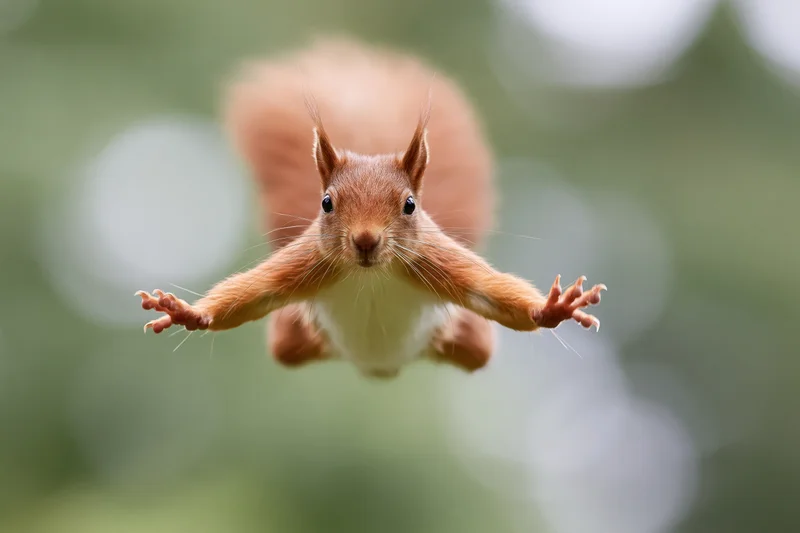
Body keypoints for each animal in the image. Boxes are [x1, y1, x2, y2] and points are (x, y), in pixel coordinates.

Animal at [135, 38, 606, 379]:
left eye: (410, 205)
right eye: (326, 203)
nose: (364, 240)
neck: (371, 275)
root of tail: (379, 368)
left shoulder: (436, 261)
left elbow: (490, 292)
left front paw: (553, 308)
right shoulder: (308, 262)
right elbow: (253, 292)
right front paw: (188, 312)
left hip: (466, 339)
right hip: (294, 335)